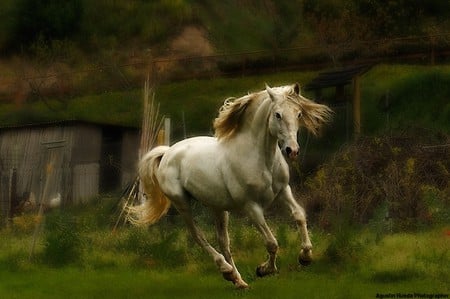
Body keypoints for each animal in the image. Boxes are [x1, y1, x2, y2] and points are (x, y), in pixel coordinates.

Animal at [128, 84, 332, 288]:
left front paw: (305, 257)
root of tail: (168, 152)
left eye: (299, 114)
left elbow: (299, 215)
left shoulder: (283, 191)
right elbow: (271, 242)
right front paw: (264, 270)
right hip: (182, 203)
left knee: (223, 241)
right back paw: (227, 270)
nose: (292, 150)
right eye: (278, 115)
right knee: (198, 236)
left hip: (217, 207)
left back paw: (238, 280)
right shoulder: (251, 206)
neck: (259, 157)